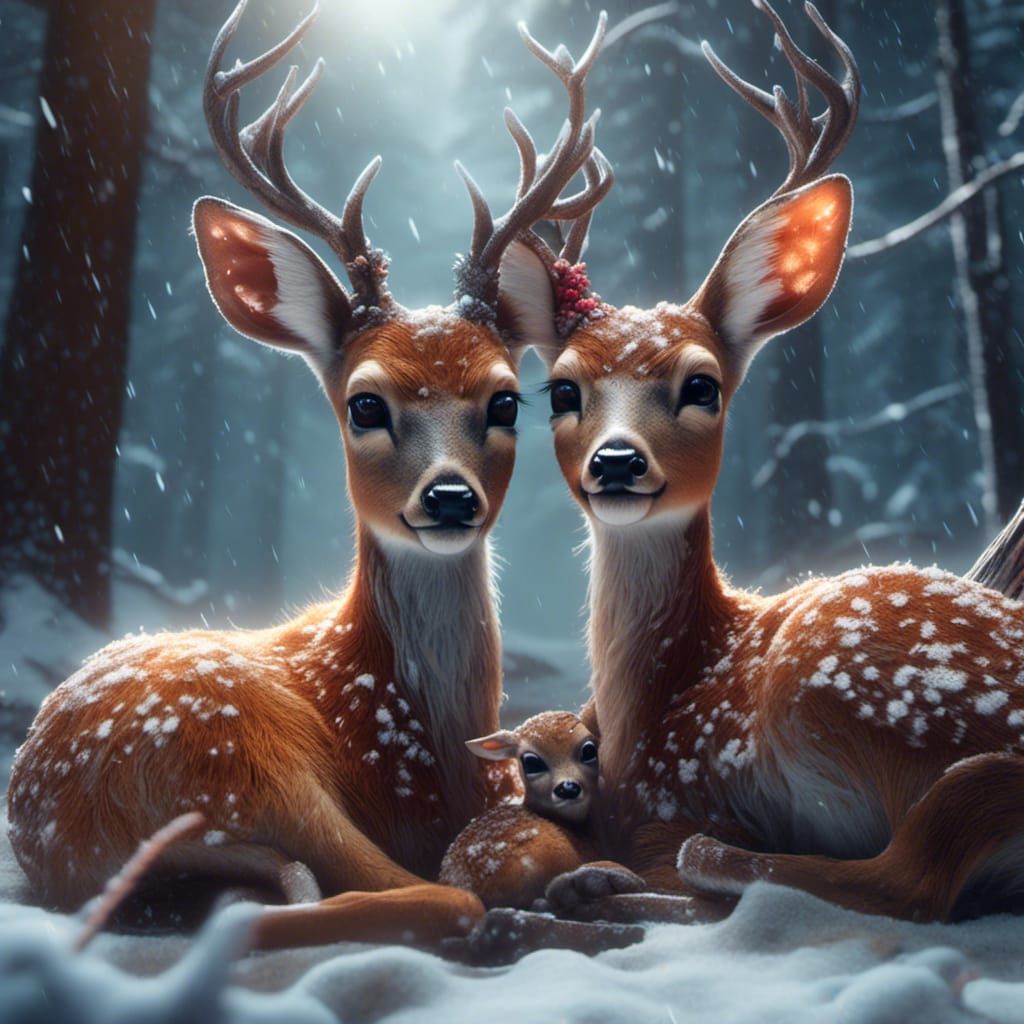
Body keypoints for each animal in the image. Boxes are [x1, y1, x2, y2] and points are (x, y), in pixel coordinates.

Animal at [6, 0, 614, 946]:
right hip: (238, 754)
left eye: (507, 400)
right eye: (365, 403)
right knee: (371, 896)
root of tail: (51, 818)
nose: (449, 497)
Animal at [499, 0, 1024, 925]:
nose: (617, 462)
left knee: (912, 874)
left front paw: (602, 875)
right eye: (561, 391)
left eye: (701, 384)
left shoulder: (680, 794)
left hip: (842, 688)